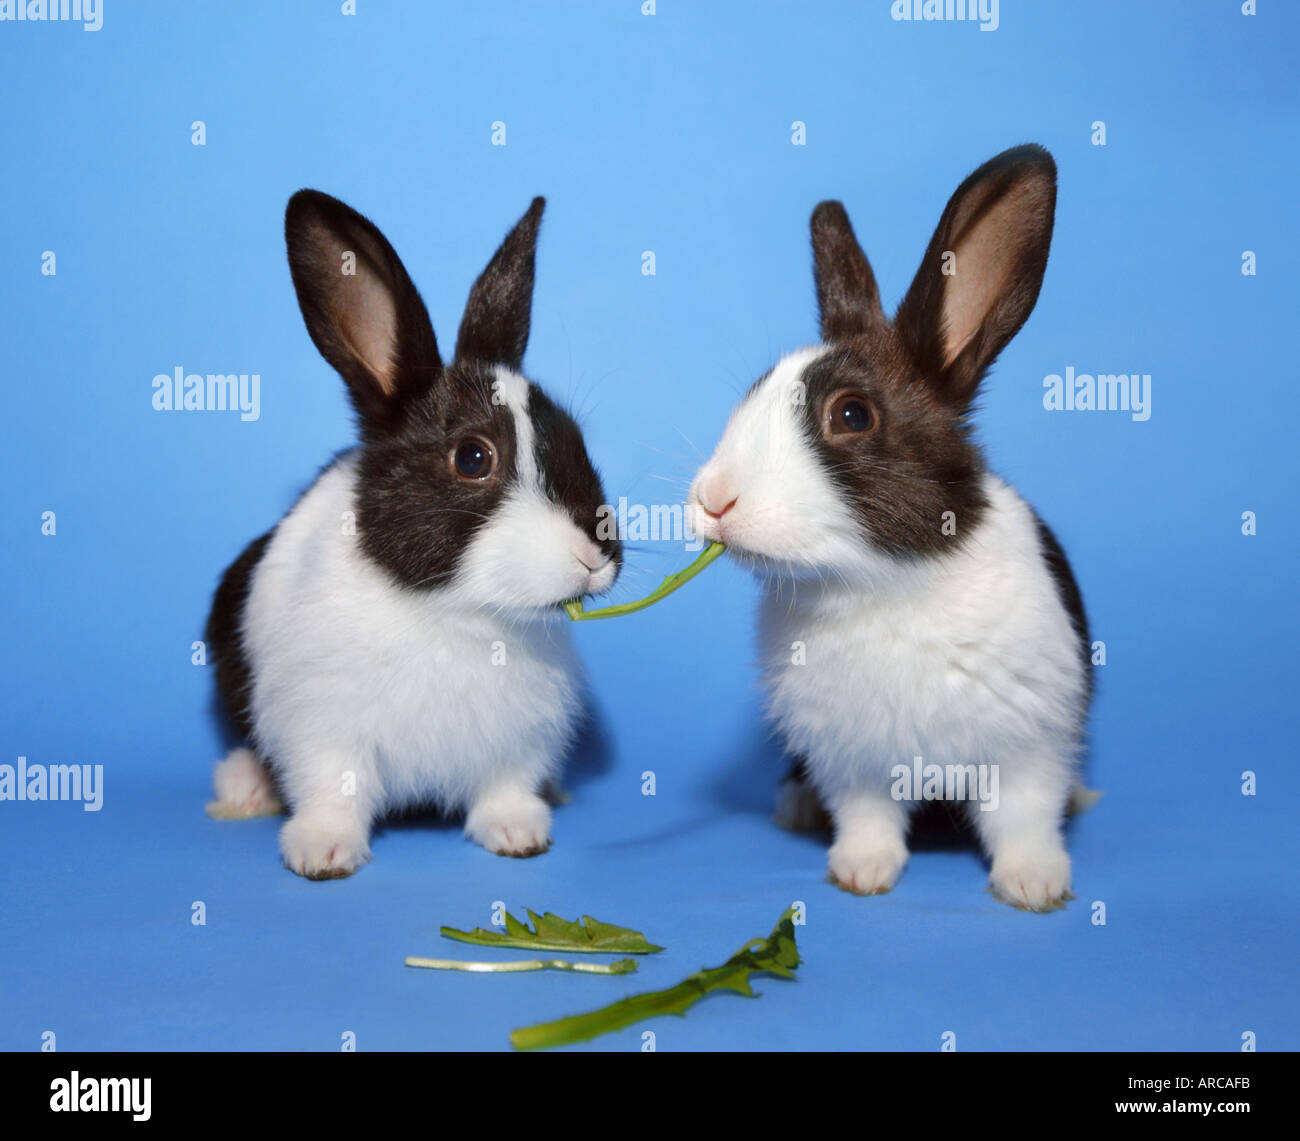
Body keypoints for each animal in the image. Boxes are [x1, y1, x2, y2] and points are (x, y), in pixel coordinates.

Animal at [205, 190, 621, 879]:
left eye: (575, 437)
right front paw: (322, 853)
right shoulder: (321, 729)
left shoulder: (520, 740)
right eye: (473, 458)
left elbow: (505, 786)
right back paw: (243, 788)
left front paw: (519, 833)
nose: (596, 557)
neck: (458, 614)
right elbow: (331, 788)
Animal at [686, 145, 1091, 911]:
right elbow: (867, 814)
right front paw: (861, 872)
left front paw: (1034, 885)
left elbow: (1025, 815)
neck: (882, 585)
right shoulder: (852, 759)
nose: (712, 499)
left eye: (852, 415)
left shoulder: (1030, 745)